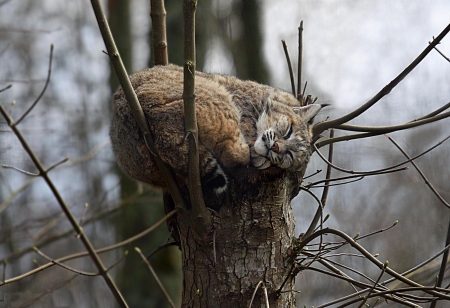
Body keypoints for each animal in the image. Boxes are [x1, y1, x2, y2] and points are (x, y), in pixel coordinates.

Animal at [111, 65, 324, 195]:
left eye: (288, 156)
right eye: (288, 131)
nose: (276, 149)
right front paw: (258, 154)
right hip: (215, 95)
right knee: (232, 154)